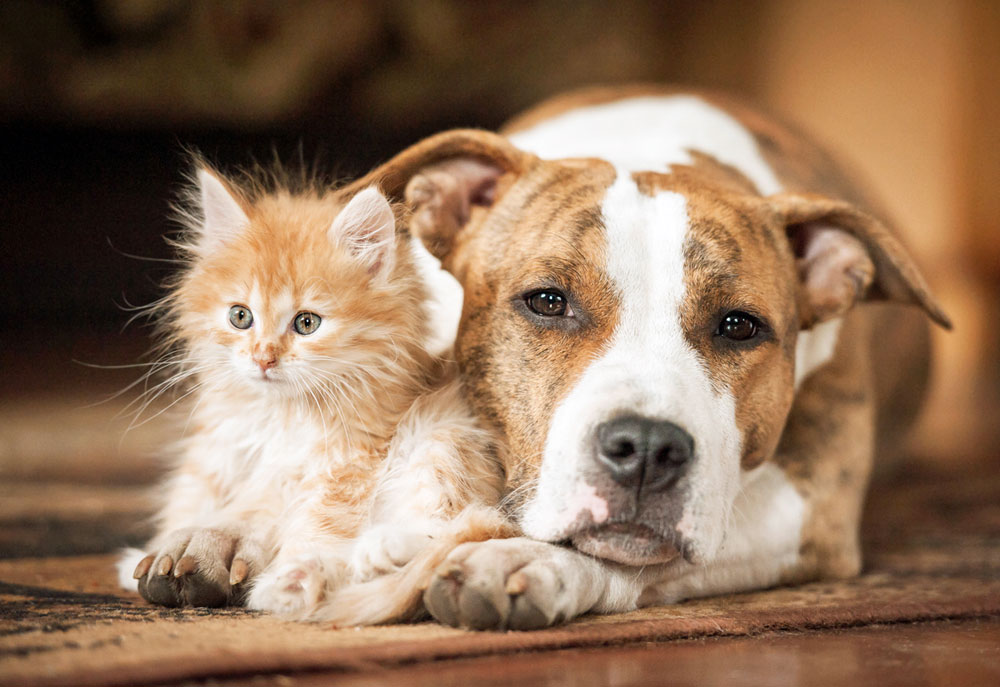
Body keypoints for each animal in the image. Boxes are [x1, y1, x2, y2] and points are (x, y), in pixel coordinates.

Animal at [118, 167, 508, 624]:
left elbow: (320, 520)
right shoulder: (217, 453)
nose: (263, 358)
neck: (280, 416)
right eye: (240, 317)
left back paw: (370, 554)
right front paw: (153, 554)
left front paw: (289, 580)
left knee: (457, 523)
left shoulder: (352, 461)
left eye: (307, 323)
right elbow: (194, 503)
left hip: (446, 437)